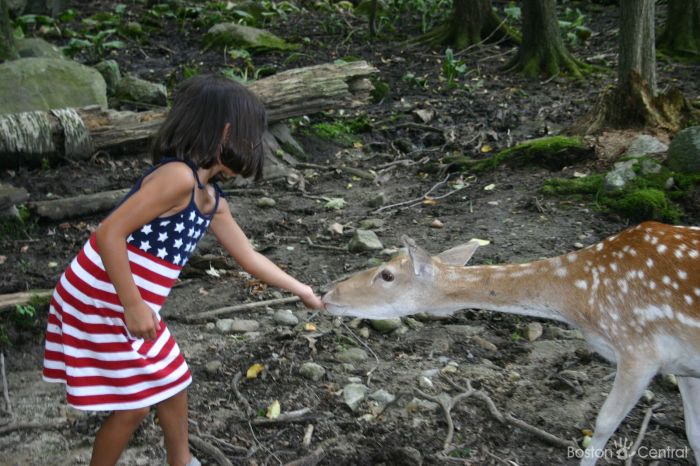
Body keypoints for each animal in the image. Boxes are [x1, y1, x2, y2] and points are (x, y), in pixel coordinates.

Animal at [322, 221, 700, 465]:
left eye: (386, 274)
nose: (327, 292)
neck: (577, 299)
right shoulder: (683, 365)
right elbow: (693, 433)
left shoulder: (638, 347)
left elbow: (604, 422)